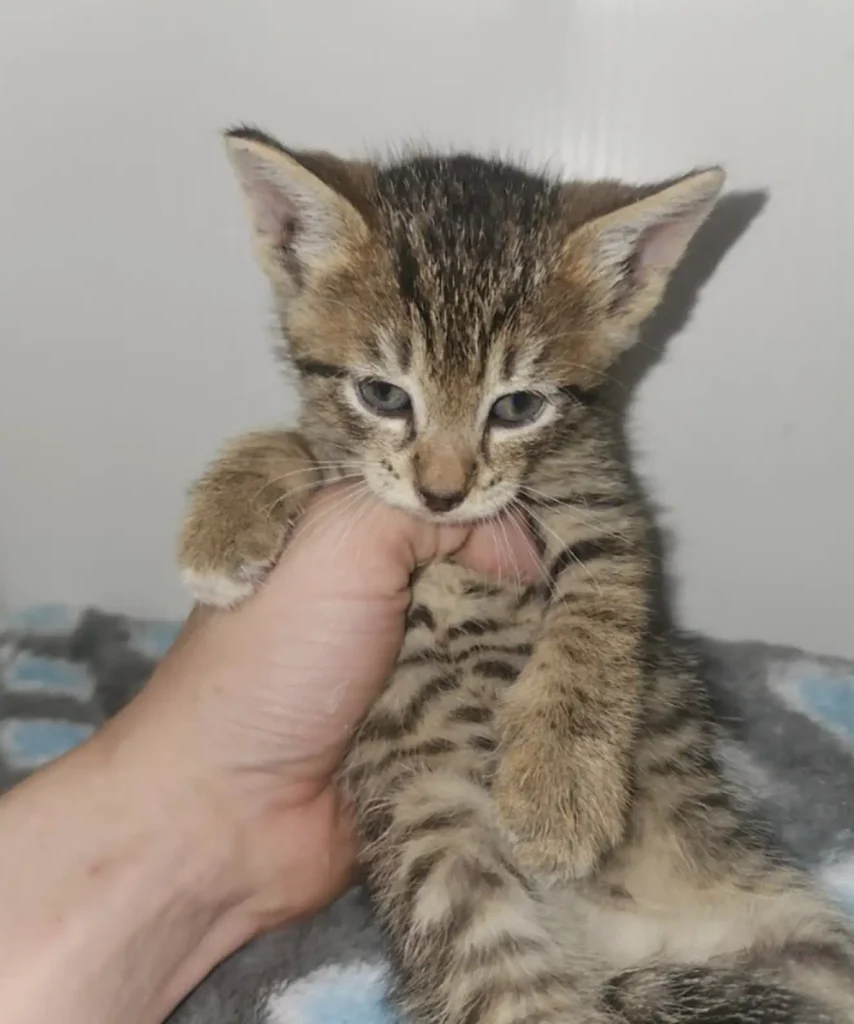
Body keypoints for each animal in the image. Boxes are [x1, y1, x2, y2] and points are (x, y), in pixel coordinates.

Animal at [180, 128, 851, 1024]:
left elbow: (599, 613)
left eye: (517, 407)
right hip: (460, 888)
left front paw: (559, 789)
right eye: (384, 394)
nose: (442, 492)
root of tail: (632, 952)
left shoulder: (607, 508)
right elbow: (301, 448)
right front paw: (225, 519)